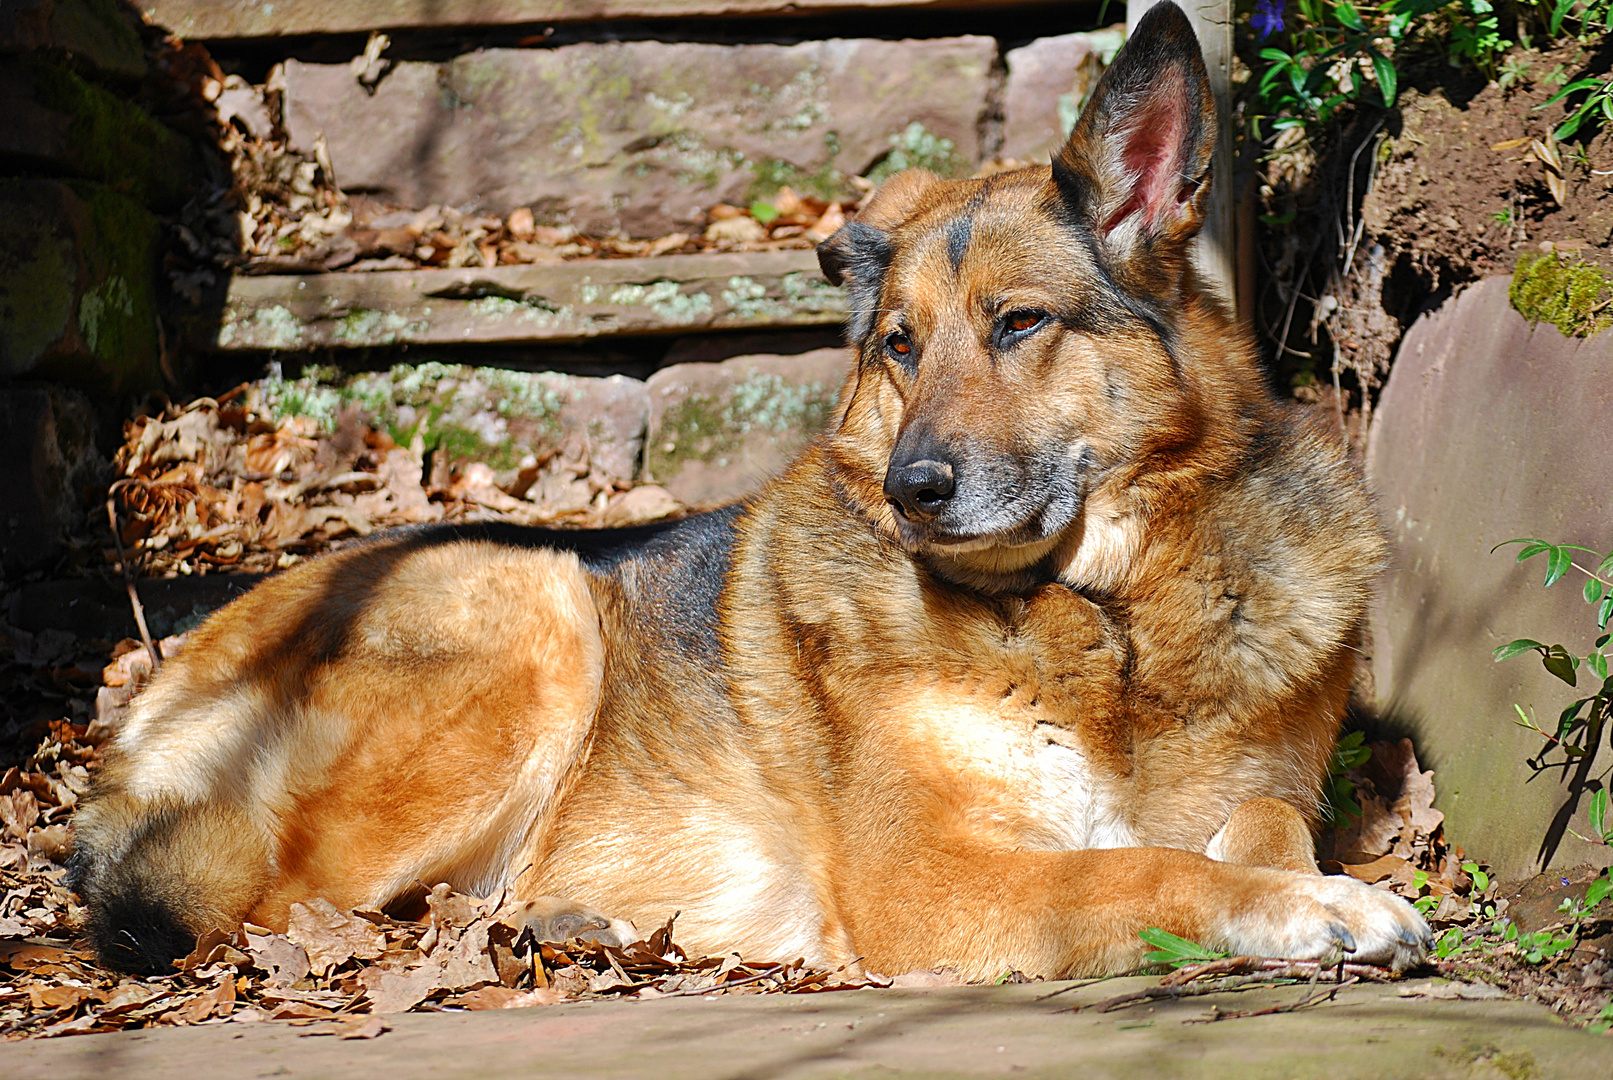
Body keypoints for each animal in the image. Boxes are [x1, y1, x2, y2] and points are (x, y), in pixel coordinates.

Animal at [69, 2, 1432, 980]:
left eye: (1018, 324)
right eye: (898, 346)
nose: (914, 489)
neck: (1109, 615)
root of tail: (153, 691)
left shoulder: (1260, 787)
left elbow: (1261, 832)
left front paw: (1311, 886)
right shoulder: (934, 881)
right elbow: (1141, 872)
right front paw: (1312, 911)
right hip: (534, 611)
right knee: (273, 904)